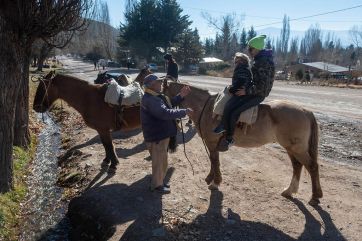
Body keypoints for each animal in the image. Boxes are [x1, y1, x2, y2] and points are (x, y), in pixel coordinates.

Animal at [163, 81, 322, 205]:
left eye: (162, 91)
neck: (207, 107)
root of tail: (305, 110)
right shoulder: (211, 143)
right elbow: (213, 160)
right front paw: (210, 178)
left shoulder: (212, 142)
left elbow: (215, 161)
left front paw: (215, 182)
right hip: (291, 148)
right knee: (297, 166)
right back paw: (289, 191)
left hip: (297, 148)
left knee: (312, 167)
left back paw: (315, 197)